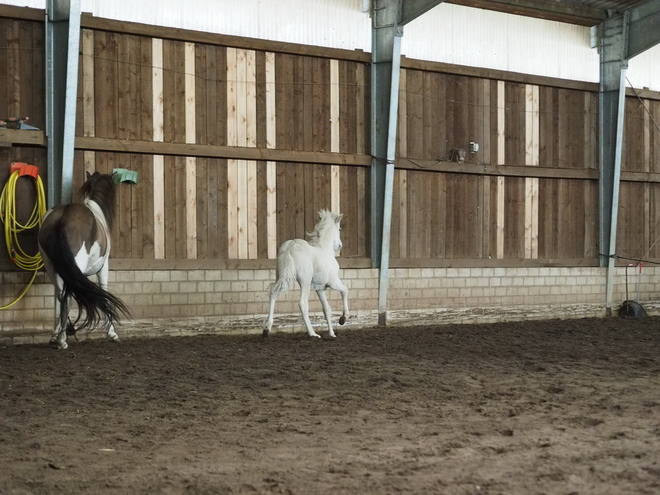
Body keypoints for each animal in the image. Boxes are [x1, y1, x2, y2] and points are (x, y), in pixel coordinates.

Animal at [38, 172, 130, 350]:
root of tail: (62, 218)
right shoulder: (103, 268)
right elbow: (104, 294)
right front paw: (112, 334)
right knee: (67, 296)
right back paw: (63, 340)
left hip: (52, 267)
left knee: (61, 295)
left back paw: (58, 335)